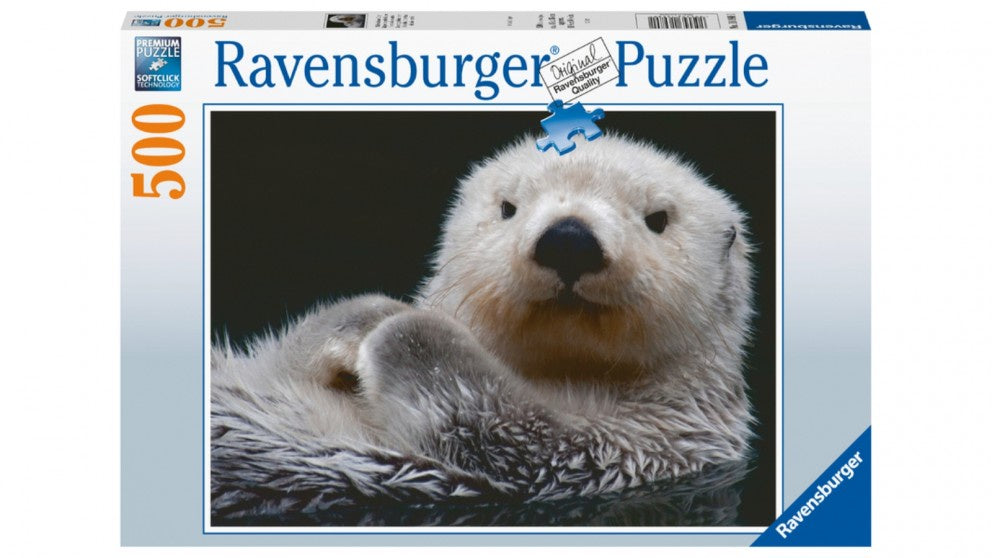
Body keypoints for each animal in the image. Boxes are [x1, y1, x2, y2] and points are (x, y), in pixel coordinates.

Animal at [211, 134, 756, 522]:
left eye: (658, 219)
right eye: (508, 207)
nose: (569, 239)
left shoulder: (634, 446)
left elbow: (496, 421)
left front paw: (402, 324)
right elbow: (280, 356)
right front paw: (365, 317)